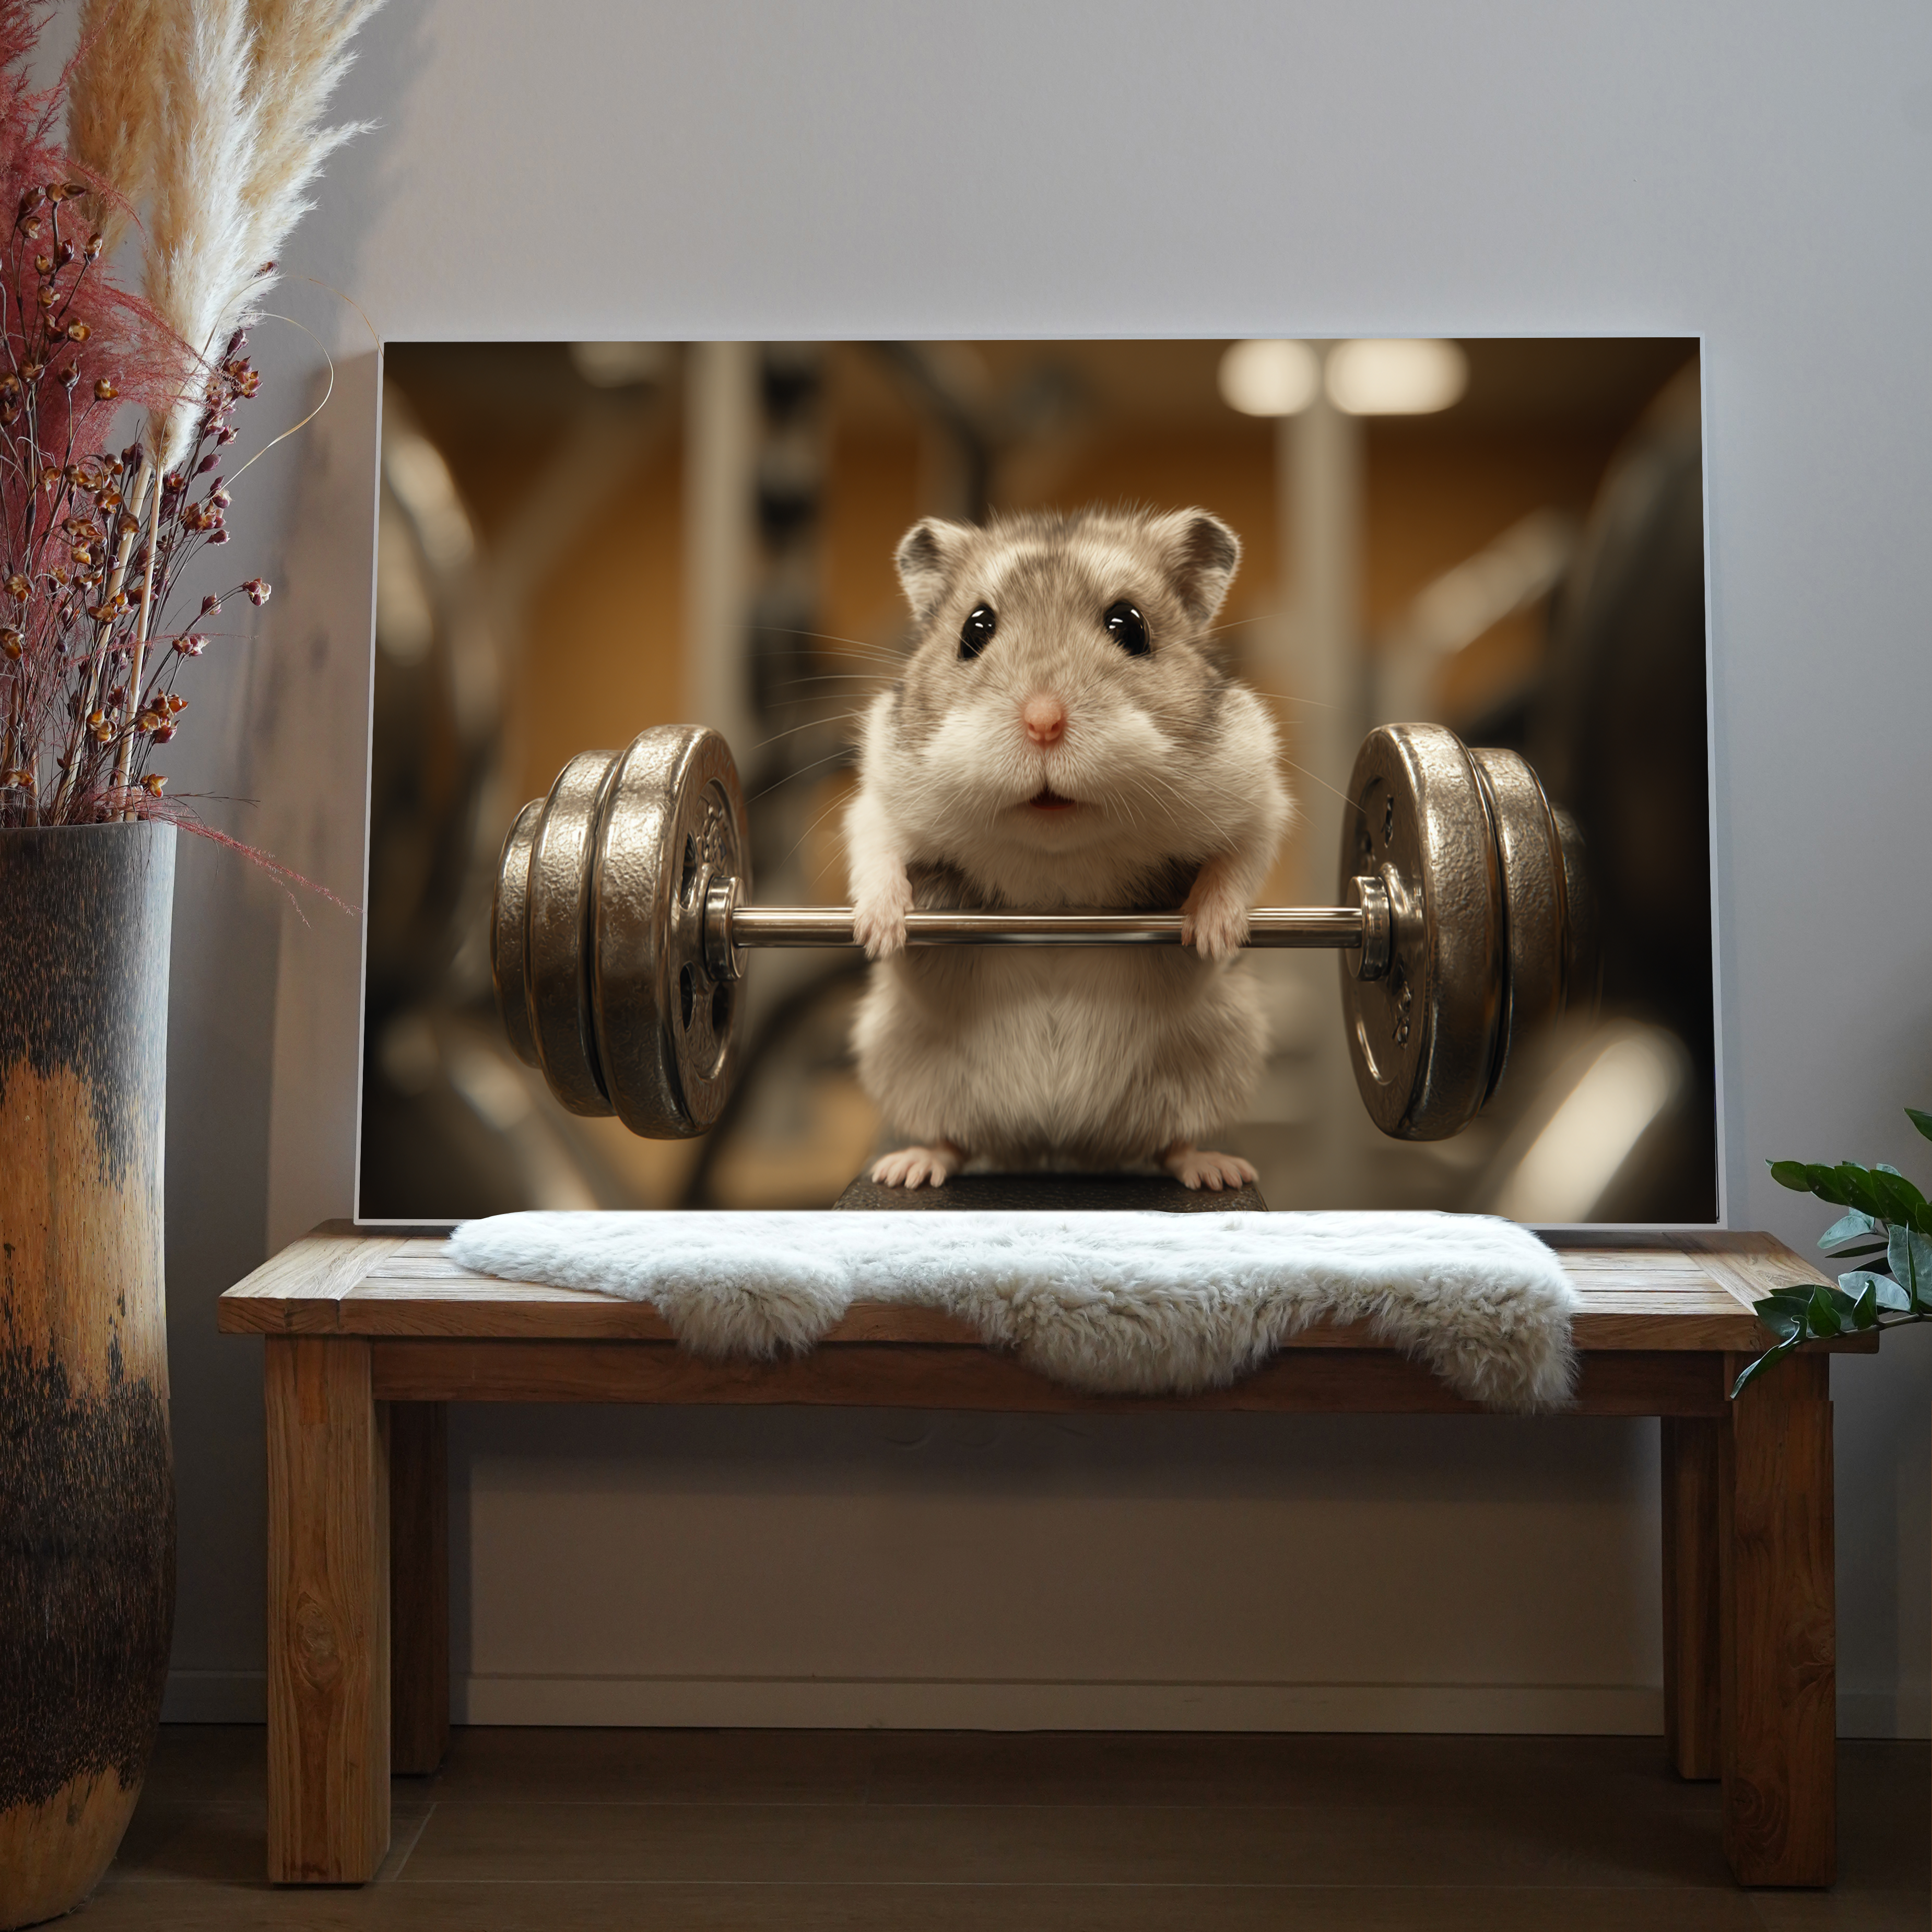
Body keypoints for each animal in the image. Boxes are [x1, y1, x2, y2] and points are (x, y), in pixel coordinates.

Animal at [844, 506, 1291, 1190]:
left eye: (1130, 625)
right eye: (974, 629)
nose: (1043, 721)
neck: (1057, 848)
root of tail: (1057, 1147)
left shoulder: (1256, 791)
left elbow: (1237, 860)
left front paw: (1209, 935)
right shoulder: (879, 796)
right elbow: (875, 851)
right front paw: (879, 933)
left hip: (1218, 1056)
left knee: (1171, 1141)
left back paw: (1218, 1171)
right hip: (903, 1058)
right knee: (953, 1138)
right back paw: (906, 1169)